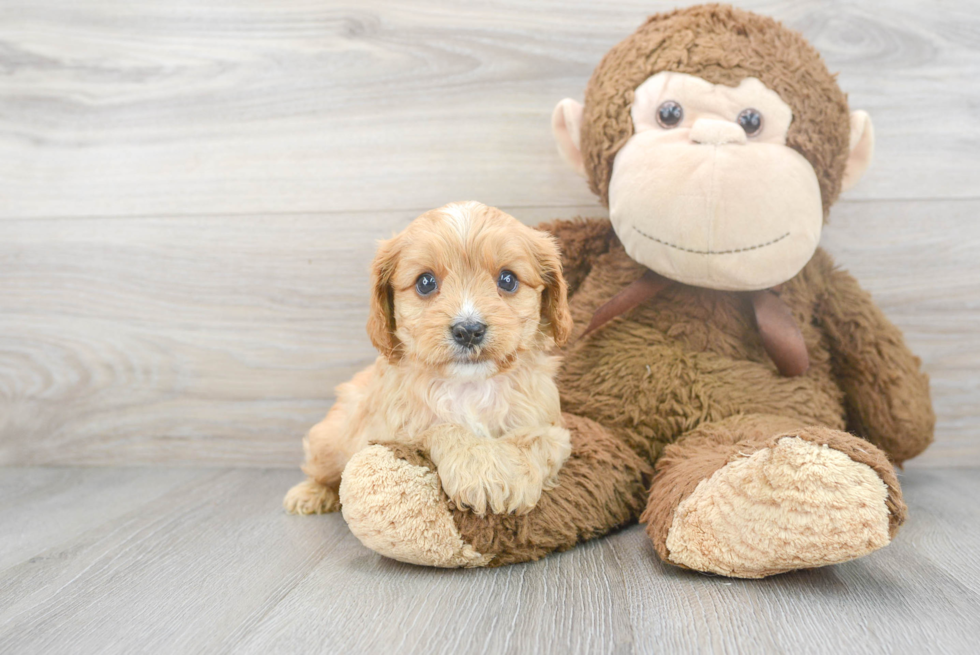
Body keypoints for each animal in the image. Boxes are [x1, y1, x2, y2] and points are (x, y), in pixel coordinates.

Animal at [282, 200, 576, 516]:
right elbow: (442, 428)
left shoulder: (550, 426)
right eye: (425, 282)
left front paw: (509, 478)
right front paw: (478, 473)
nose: (468, 330)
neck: (470, 386)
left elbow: (533, 440)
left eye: (508, 280)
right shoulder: (395, 431)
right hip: (331, 437)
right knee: (323, 470)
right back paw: (310, 493)